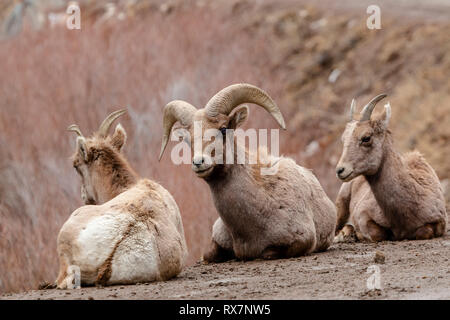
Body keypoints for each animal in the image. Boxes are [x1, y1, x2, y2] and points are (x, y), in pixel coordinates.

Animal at [334, 94, 446, 241]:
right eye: (343, 139)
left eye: (366, 138)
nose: (340, 170)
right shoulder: (363, 215)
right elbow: (377, 234)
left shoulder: (439, 222)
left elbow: (424, 232)